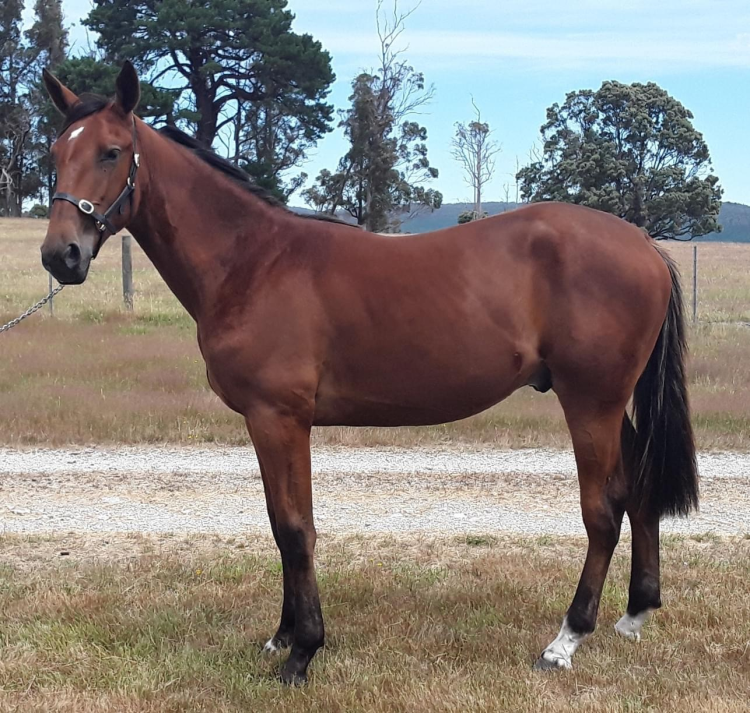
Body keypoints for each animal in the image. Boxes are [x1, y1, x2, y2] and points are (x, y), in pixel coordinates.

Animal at [39, 62, 700, 684]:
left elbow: (295, 529)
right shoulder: (269, 422)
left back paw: (565, 640)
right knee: (638, 492)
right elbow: (281, 525)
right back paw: (634, 614)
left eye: (111, 151)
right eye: (55, 152)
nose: (60, 255)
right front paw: (282, 636)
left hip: (591, 402)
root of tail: (643, 242)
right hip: (612, 405)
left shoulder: (279, 419)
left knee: (603, 511)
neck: (253, 261)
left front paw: (302, 653)